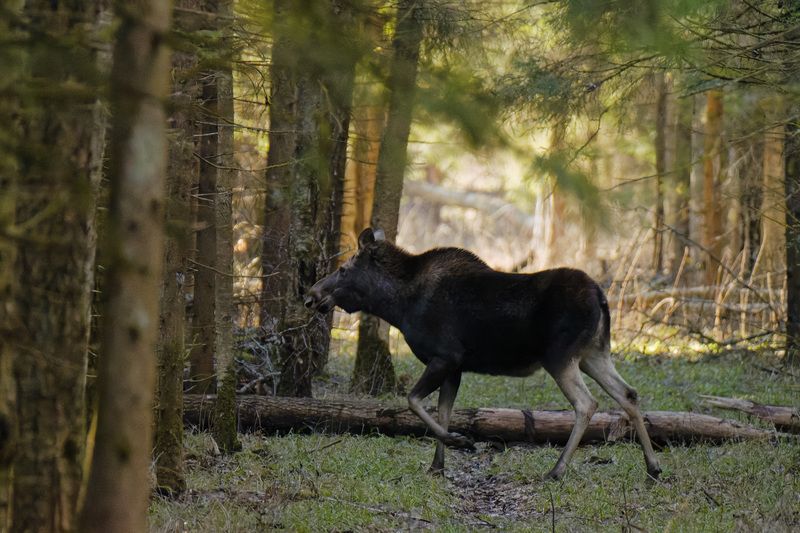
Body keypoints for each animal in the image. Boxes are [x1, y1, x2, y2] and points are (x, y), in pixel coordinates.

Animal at [304, 228, 661, 480]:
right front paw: (437, 466)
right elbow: (442, 410)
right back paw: (653, 468)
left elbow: (413, 400)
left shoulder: (445, 356)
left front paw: (460, 441)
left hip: (560, 357)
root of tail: (602, 297)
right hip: (593, 354)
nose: (311, 295)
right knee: (628, 394)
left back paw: (557, 470)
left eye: (344, 268)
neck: (398, 306)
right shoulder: (455, 367)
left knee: (587, 403)